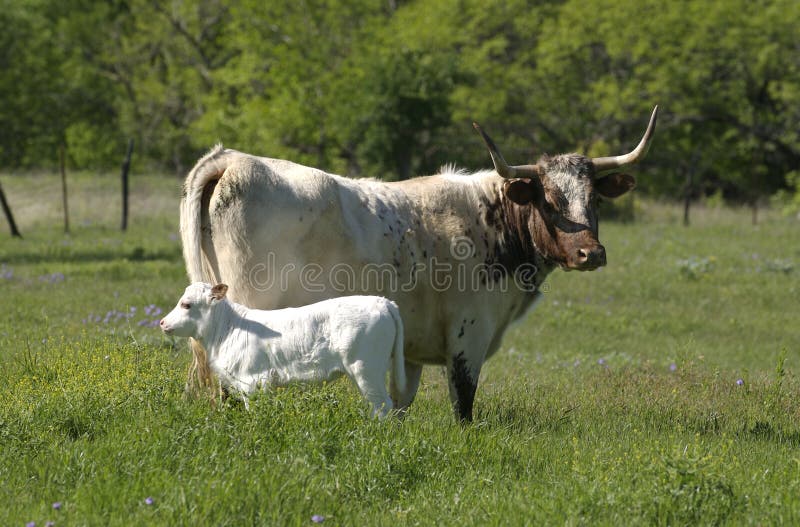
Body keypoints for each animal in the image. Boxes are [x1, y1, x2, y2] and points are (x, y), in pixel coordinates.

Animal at [160, 282, 406, 418]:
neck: (228, 328)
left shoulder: (252, 381)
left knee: (382, 406)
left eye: (186, 304)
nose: (162, 322)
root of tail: (382, 302)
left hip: (366, 368)